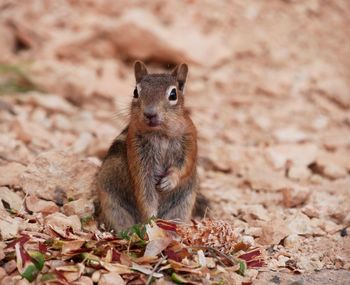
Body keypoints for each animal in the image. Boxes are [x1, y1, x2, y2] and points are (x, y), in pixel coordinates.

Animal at [95, 60, 208, 231]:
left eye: (173, 94)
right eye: (136, 92)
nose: (150, 113)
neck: (160, 133)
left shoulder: (189, 140)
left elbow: (184, 166)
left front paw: (169, 181)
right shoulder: (138, 154)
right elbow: (144, 190)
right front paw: (151, 219)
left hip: (183, 205)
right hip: (112, 203)